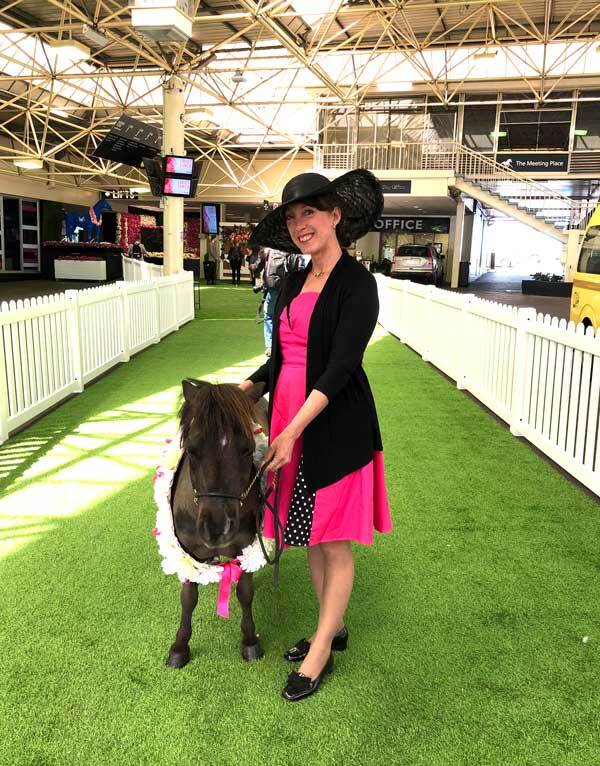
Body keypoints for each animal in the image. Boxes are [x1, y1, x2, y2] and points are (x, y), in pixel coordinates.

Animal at [164, 378, 269, 668]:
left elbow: (245, 592)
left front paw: (250, 640)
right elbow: (188, 599)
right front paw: (180, 646)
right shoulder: (188, 552)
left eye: (248, 449)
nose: (217, 528)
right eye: (190, 449)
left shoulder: (244, 547)